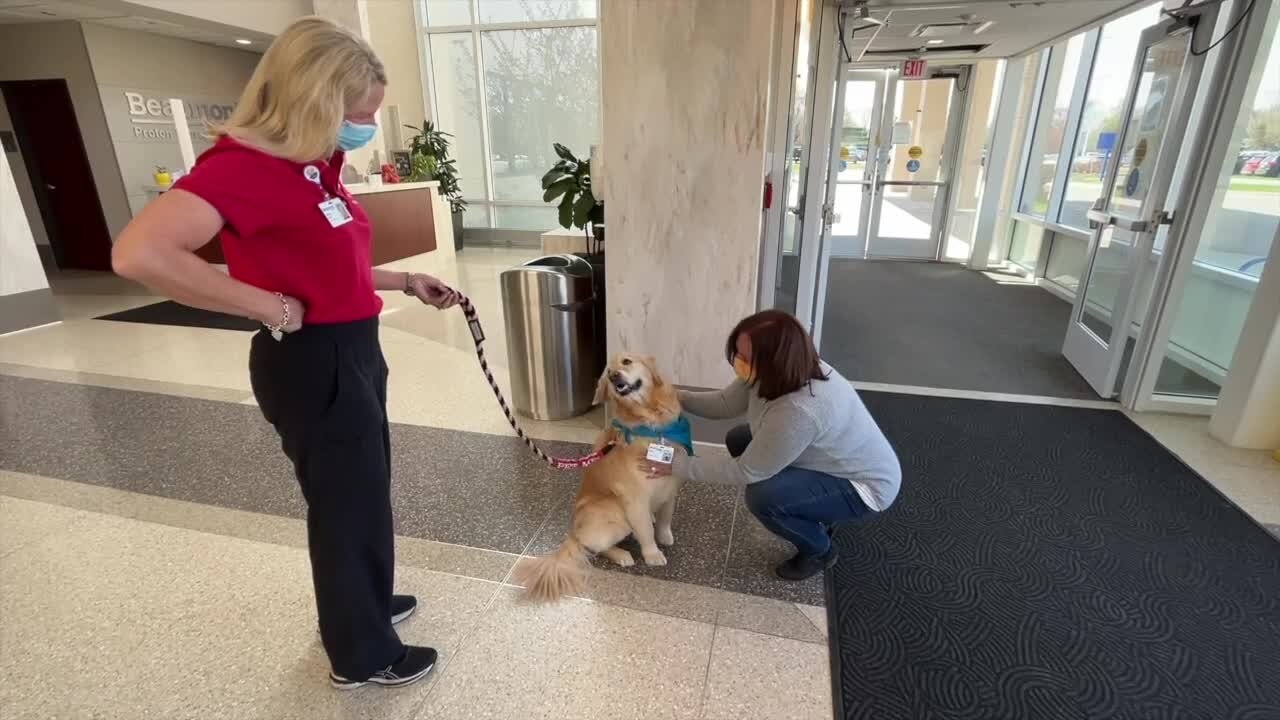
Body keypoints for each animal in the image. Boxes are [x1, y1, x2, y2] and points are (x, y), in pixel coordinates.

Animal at [517, 353, 691, 599]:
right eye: (608, 373)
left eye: (626, 361)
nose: (614, 375)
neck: (651, 423)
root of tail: (574, 530)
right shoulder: (635, 498)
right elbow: (646, 531)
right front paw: (652, 554)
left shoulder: (670, 486)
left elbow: (666, 516)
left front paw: (665, 535)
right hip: (615, 511)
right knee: (594, 547)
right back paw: (622, 555)